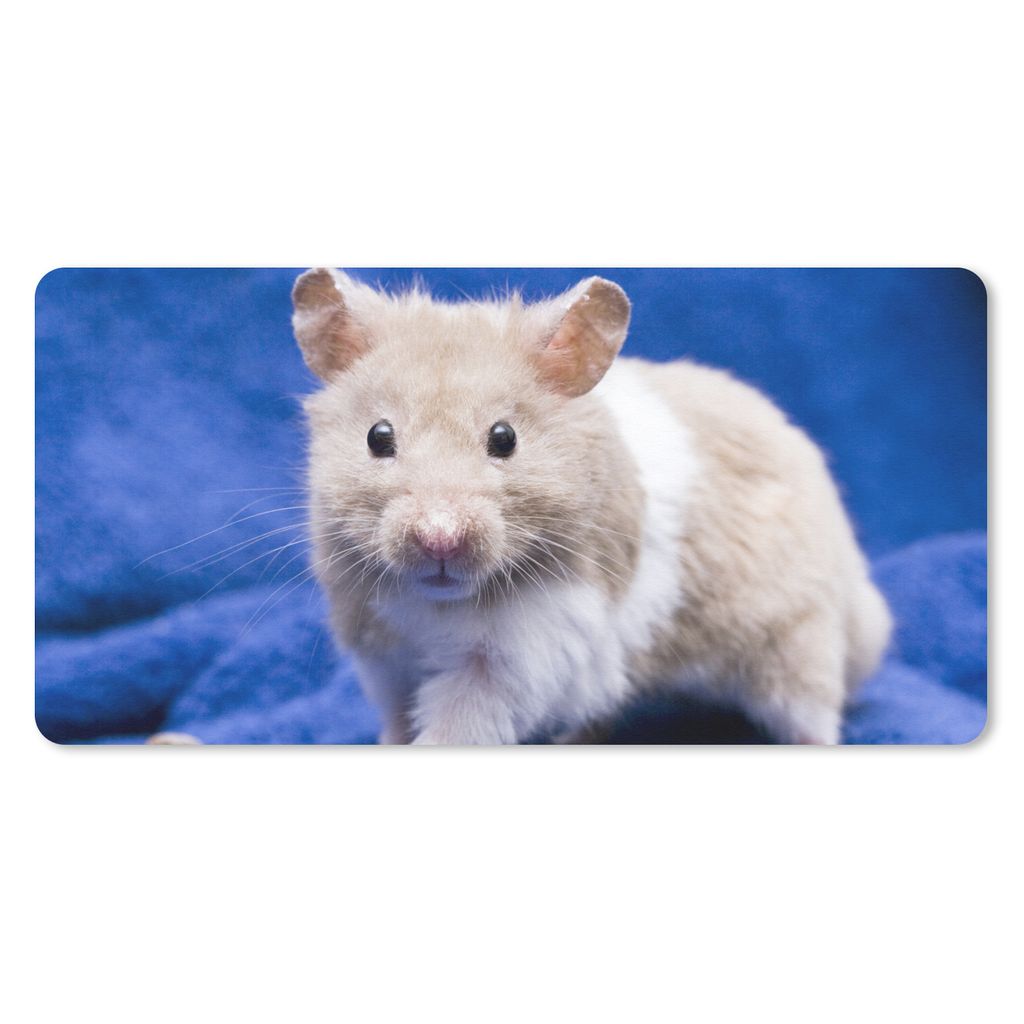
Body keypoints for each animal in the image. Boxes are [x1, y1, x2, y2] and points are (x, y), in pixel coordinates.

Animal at [292, 269, 891, 744]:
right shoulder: (382, 652)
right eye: (378, 436)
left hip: (797, 639)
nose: (439, 538)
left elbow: (457, 725)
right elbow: (398, 718)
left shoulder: (515, 661)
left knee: (814, 710)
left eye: (505, 438)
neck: (438, 604)